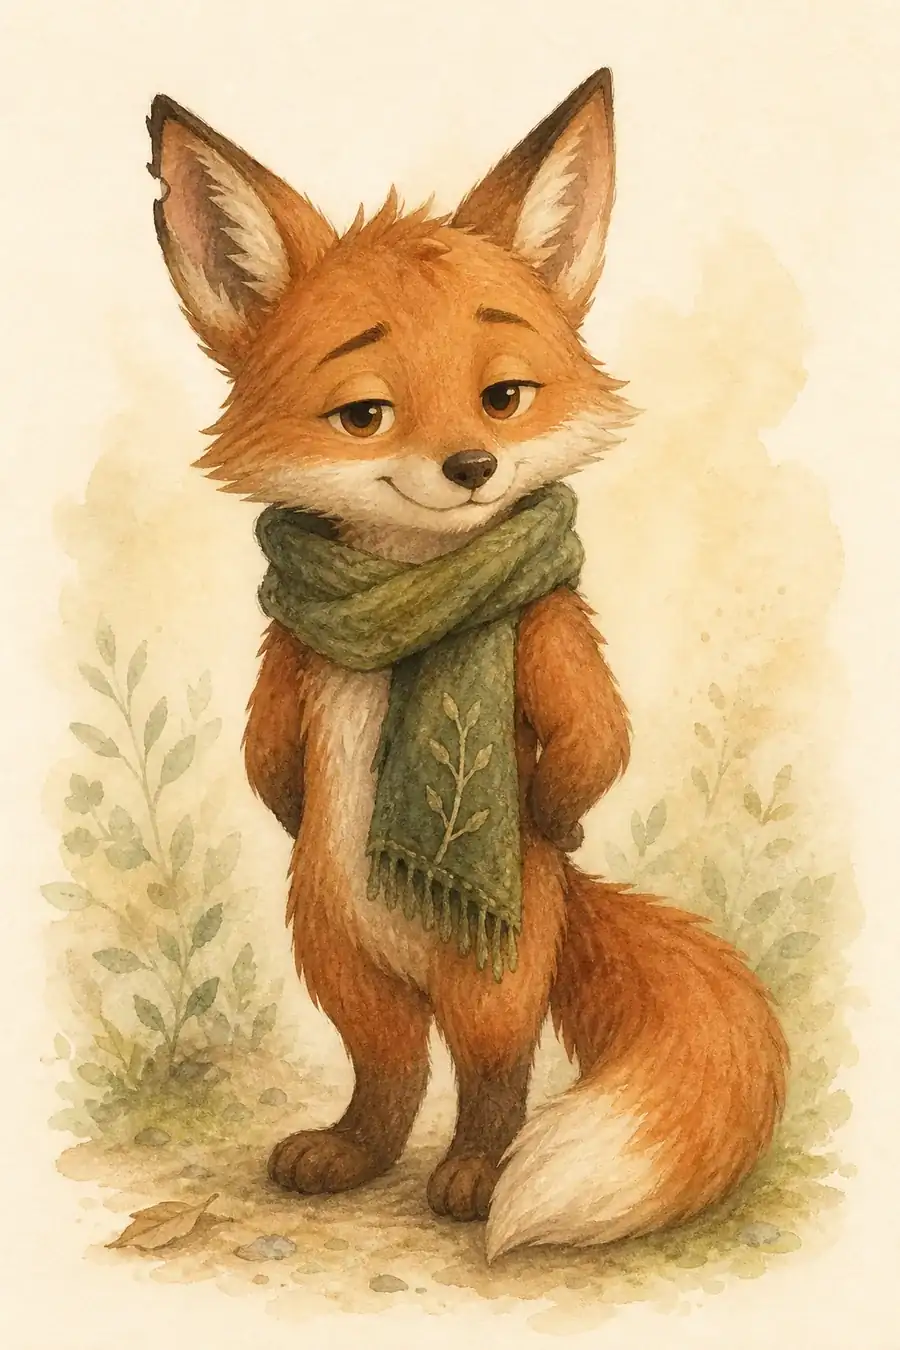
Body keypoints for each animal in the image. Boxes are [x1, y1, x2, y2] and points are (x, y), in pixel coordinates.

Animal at [147, 69, 787, 1261]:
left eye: (504, 398)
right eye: (365, 415)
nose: (472, 467)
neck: (405, 609)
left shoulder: (546, 627)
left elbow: (592, 739)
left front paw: (563, 812)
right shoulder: (289, 652)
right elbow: (267, 757)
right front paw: (288, 796)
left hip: (494, 970)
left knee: (495, 1073)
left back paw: (477, 1176)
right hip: (340, 964)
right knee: (390, 1069)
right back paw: (349, 1155)